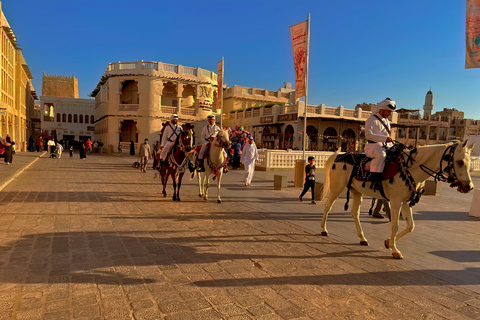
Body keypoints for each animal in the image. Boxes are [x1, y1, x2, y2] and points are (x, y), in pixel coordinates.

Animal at [320, 141, 474, 258]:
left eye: (470, 164)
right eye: (460, 162)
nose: (469, 186)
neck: (411, 169)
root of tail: (338, 155)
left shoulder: (405, 202)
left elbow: (411, 225)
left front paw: (388, 242)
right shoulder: (395, 201)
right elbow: (395, 225)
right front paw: (394, 250)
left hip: (356, 191)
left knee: (355, 213)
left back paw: (362, 238)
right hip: (337, 187)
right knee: (327, 206)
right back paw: (324, 230)